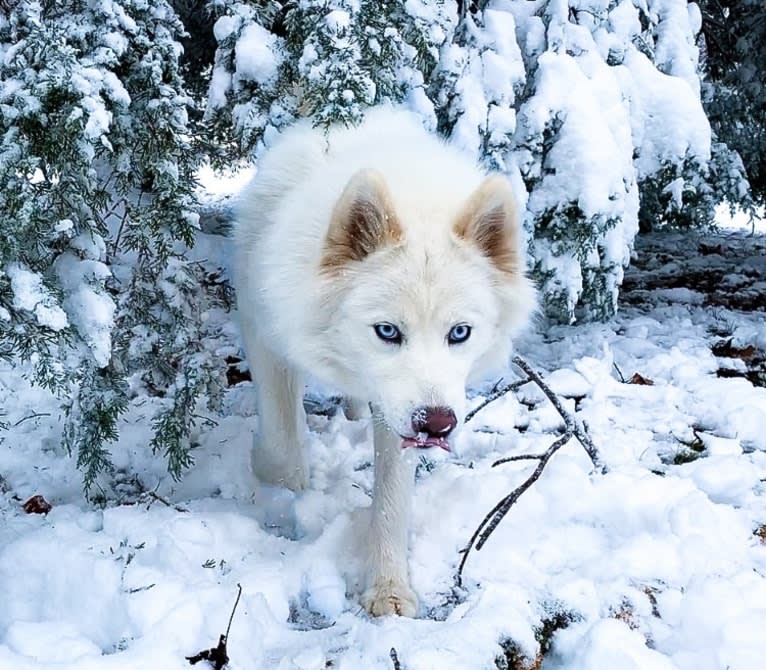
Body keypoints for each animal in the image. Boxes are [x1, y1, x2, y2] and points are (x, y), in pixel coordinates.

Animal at [234, 109, 536, 620]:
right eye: (388, 332)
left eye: (459, 333)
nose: (437, 424)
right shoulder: (264, 332)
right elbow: (283, 448)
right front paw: (275, 488)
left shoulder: (399, 417)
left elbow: (392, 505)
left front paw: (389, 590)